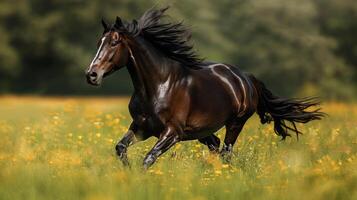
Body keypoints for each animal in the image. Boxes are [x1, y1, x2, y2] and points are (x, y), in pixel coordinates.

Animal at [85, 7, 324, 169]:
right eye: (98, 43)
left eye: (114, 42)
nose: (91, 75)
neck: (158, 86)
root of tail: (245, 77)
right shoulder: (141, 128)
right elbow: (121, 148)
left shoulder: (172, 133)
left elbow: (148, 158)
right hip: (203, 131)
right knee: (216, 146)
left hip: (235, 123)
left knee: (226, 151)